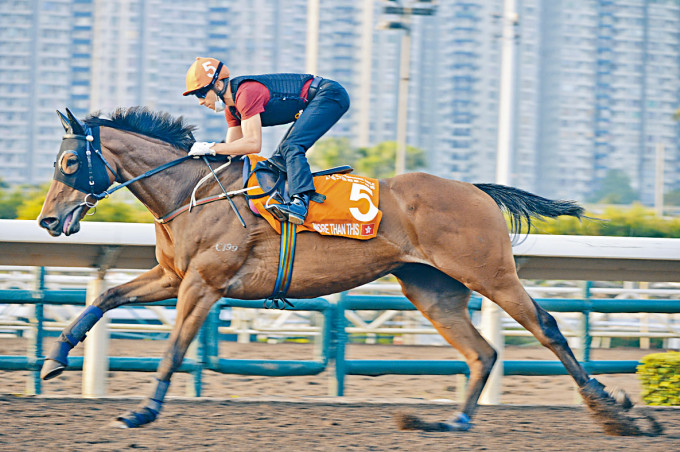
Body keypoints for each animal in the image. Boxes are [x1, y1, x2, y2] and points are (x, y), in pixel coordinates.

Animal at [35, 107, 660, 434]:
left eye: (68, 161)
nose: (47, 220)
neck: (193, 192)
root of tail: (477, 190)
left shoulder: (203, 284)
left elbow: (172, 347)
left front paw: (143, 410)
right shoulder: (171, 276)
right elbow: (106, 298)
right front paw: (54, 359)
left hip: (491, 274)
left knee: (547, 328)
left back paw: (617, 414)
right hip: (432, 290)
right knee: (483, 352)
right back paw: (448, 424)